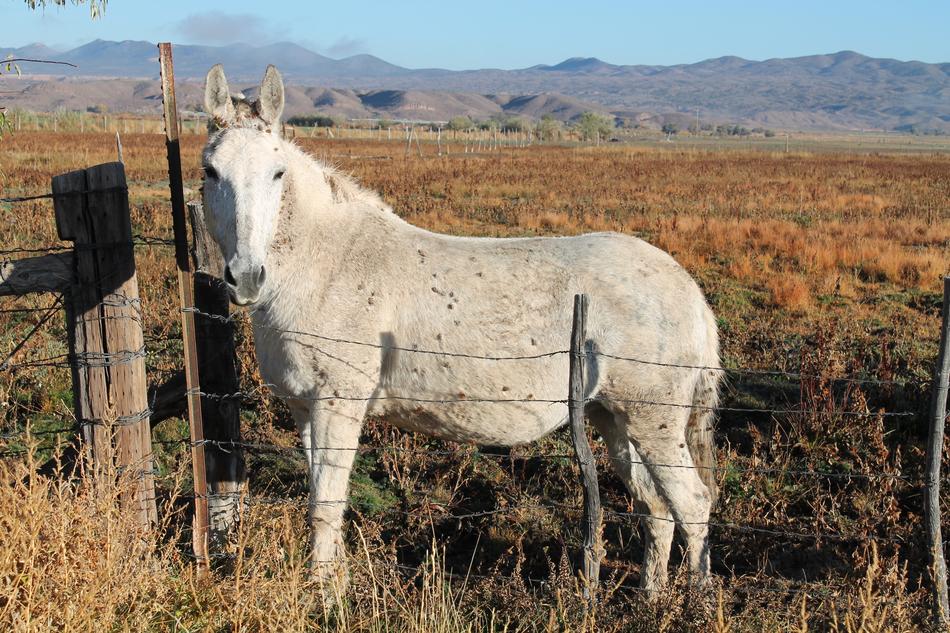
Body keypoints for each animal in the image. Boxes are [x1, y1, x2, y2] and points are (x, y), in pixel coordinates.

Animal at [200, 64, 722, 591]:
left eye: (277, 173)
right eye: (210, 171)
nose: (246, 277)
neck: (326, 262)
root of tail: (689, 290)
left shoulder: (337, 405)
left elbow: (325, 508)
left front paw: (325, 596)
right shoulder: (305, 409)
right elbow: (321, 502)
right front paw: (335, 583)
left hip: (653, 421)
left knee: (693, 504)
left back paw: (695, 600)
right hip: (612, 418)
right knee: (656, 507)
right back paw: (651, 597)